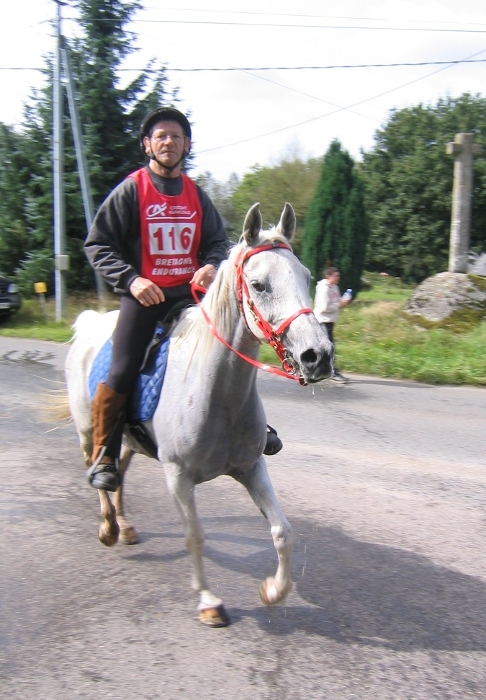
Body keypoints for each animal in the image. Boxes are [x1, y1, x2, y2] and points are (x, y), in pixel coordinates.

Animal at [65, 202, 333, 627]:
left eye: (306, 277)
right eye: (259, 284)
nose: (318, 356)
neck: (219, 396)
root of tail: (89, 323)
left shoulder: (251, 466)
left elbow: (283, 531)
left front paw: (274, 590)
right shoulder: (178, 475)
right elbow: (195, 536)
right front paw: (209, 601)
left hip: (129, 440)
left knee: (118, 469)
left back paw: (124, 526)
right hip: (86, 430)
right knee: (98, 470)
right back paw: (108, 526)